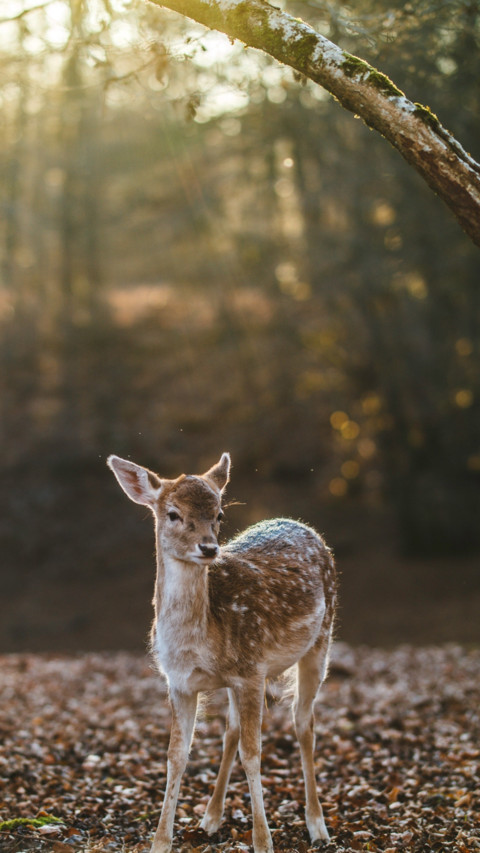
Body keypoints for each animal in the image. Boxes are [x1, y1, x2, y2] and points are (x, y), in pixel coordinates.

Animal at [107, 451, 336, 853]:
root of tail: (303, 526)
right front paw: (161, 841)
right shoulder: (179, 683)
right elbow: (176, 756)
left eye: (219, 515)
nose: (209, 547)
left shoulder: (252, 671)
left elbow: (253, 754)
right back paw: (211, 818)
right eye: (173, 513)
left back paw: (317, 826)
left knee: (303, 723)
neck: (198, 643)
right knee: (231, 730)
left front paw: (263, 842)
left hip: (321, 640)